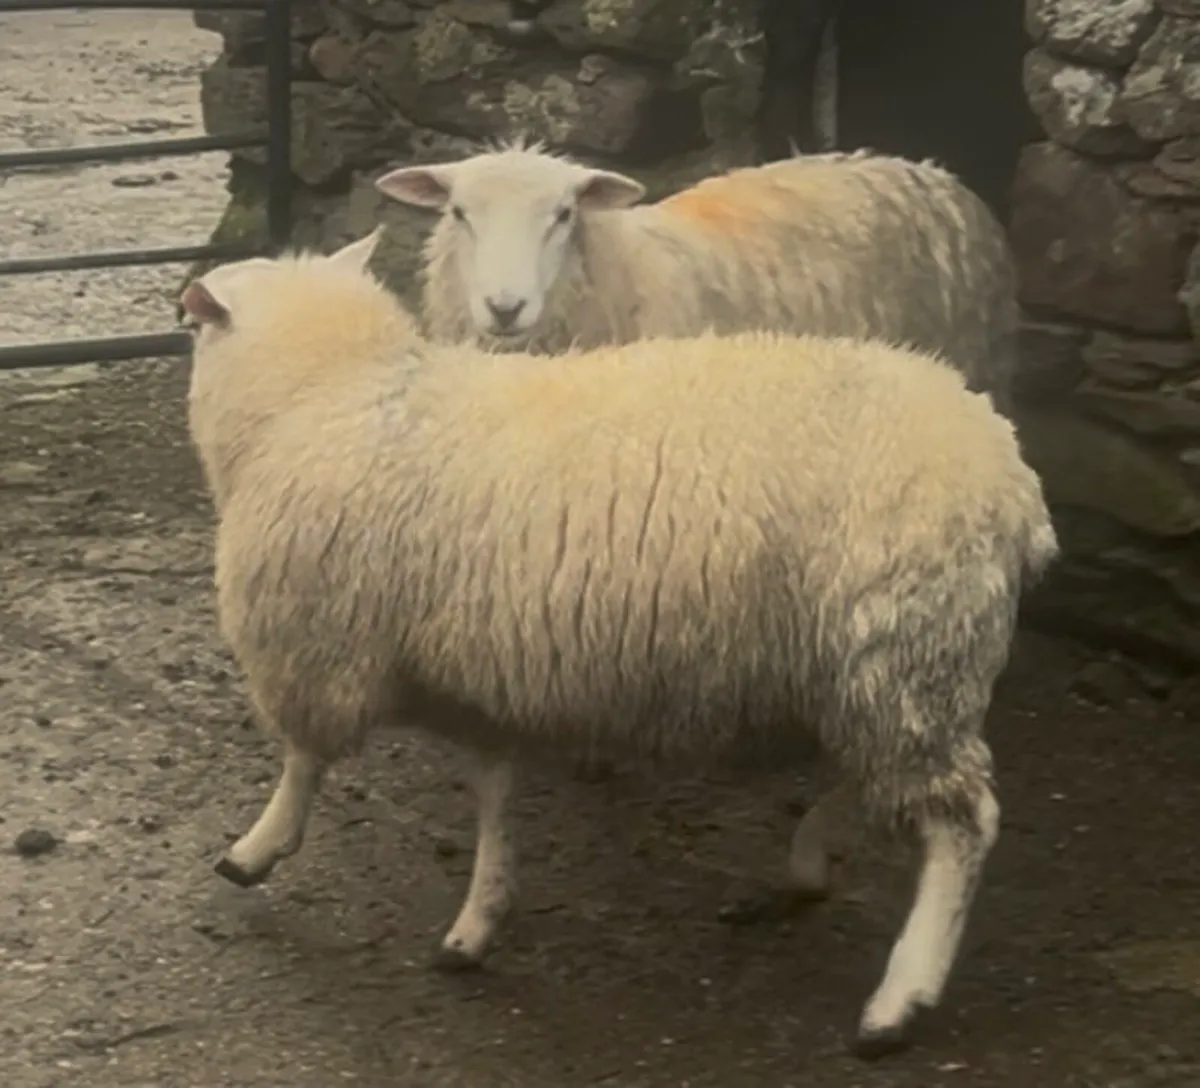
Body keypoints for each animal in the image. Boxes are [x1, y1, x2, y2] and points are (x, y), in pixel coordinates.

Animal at [180, 230, 1058, 1059]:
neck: (329, 390)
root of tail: (1012, 481)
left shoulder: (316, 639)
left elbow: (304, 759)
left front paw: (255, 848)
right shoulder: (480, 670)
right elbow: (493, 792)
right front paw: (479, 916)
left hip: (907, 651)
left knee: (962, 824)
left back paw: (899, 1000)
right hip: (868, 668)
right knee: (870, 777)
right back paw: (810, 861)